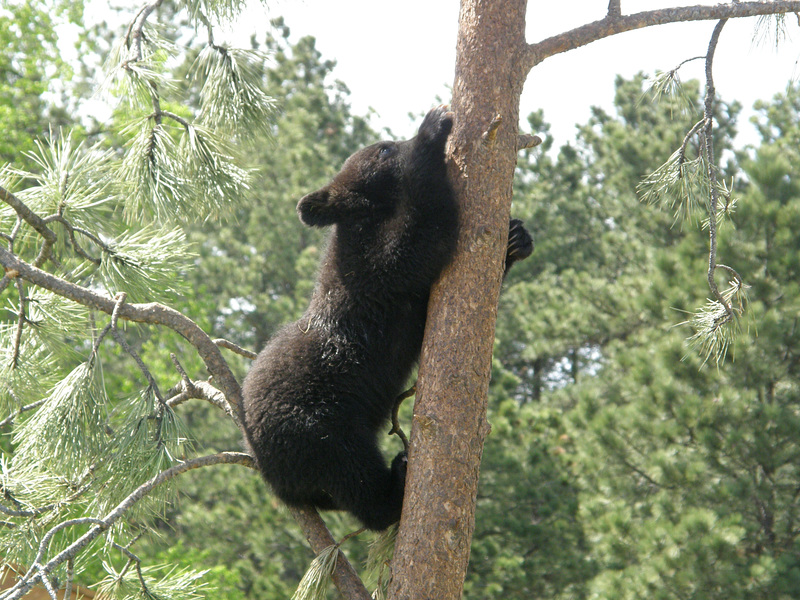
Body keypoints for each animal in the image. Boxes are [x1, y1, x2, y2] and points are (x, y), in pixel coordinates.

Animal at [242, 106, 532, 528]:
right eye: (383, 149)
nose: (399, 140)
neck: (371, 214)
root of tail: (274, 480)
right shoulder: (367, 271)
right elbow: (414, 244)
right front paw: (431, 131)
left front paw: (516, 238)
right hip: (316, 426)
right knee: (353, 473)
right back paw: (395, 483)